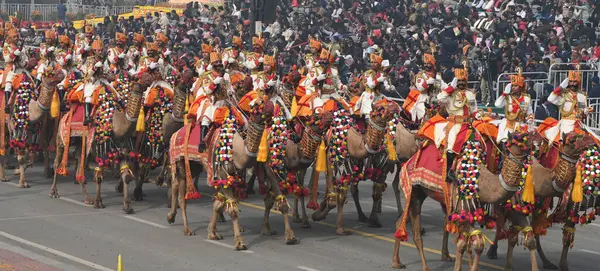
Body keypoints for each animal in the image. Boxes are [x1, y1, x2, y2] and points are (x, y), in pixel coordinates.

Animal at [166, 98, 274, 251]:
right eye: (259, 107)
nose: (270, 114)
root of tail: (175, 134)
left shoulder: (232, 177)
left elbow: (218, 204)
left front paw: (212, 233)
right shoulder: (222, 174)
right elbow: (232, 210)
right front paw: (239, 242)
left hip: (194, 166)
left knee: (176, 184)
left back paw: (171, 216)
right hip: (181, 160)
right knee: (182, 196)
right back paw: (187, 229)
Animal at [394, 130, 540, 271]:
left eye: (529, 145)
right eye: (514, 143)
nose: (533, 147)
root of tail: (409, 160)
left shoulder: (508, 209)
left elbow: (529, 238)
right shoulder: (463, 211)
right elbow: (475, 243)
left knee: (403, 222)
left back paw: (399, 261)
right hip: (414, 192)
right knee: (415, 231)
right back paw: (420, 266)